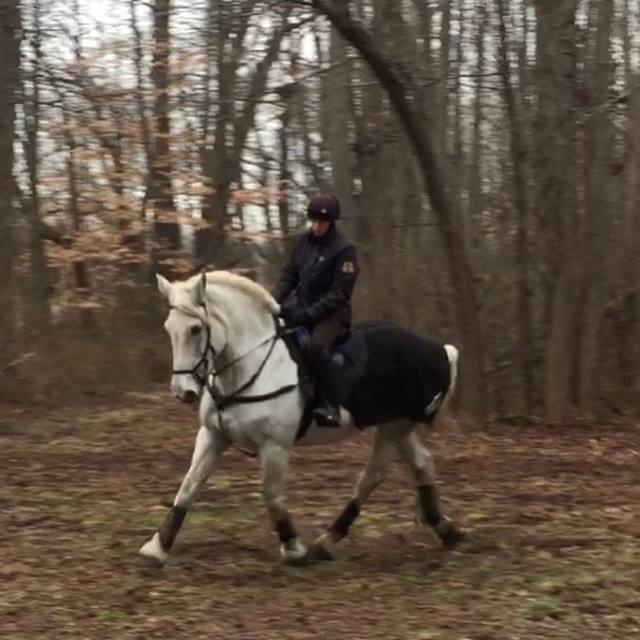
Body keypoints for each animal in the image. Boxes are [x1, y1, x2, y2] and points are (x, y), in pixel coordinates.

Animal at [138, 269, 464, 568]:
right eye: (169, 328)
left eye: (195, 329)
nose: (183, 391)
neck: (249, 367)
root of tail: (437, 349)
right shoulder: (213, 436)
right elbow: (188, 487)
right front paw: (157, 547)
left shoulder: (274, 446)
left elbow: (271, 495)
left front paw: (293, 547)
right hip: (395, 424)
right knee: (421, 464)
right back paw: (446, 530)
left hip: (393, 428)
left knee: (372, 477)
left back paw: (326, 541)